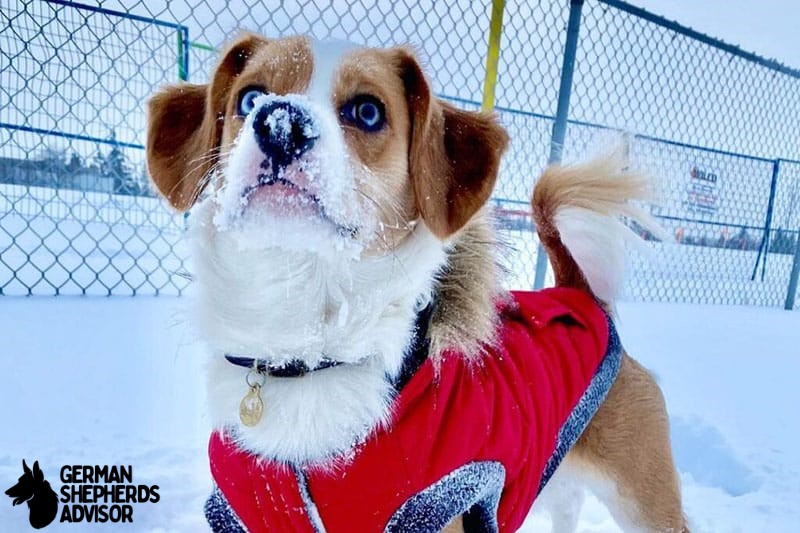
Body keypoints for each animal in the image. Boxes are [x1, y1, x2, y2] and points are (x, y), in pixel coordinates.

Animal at [145, 34, 688, 532]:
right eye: (250, 97)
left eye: (367, 111)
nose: (281, 123)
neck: (306, 351)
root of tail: (580, 295)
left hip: (644, 496)